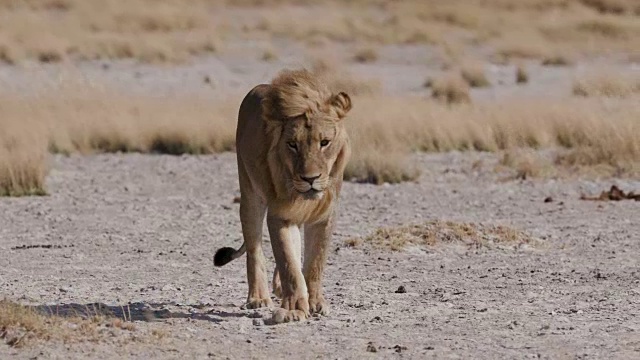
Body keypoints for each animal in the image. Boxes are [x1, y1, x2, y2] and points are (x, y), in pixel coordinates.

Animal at [212, 67, 352, 324]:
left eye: (324, 142)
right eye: (292, 144)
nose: (310, 178)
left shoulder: (324, 216)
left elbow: (314, 262)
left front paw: (315, 302)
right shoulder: (280, 214)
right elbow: (288, 263)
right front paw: (294, 309)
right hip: (249, 193)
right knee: (255, 248)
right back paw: (258, 297)